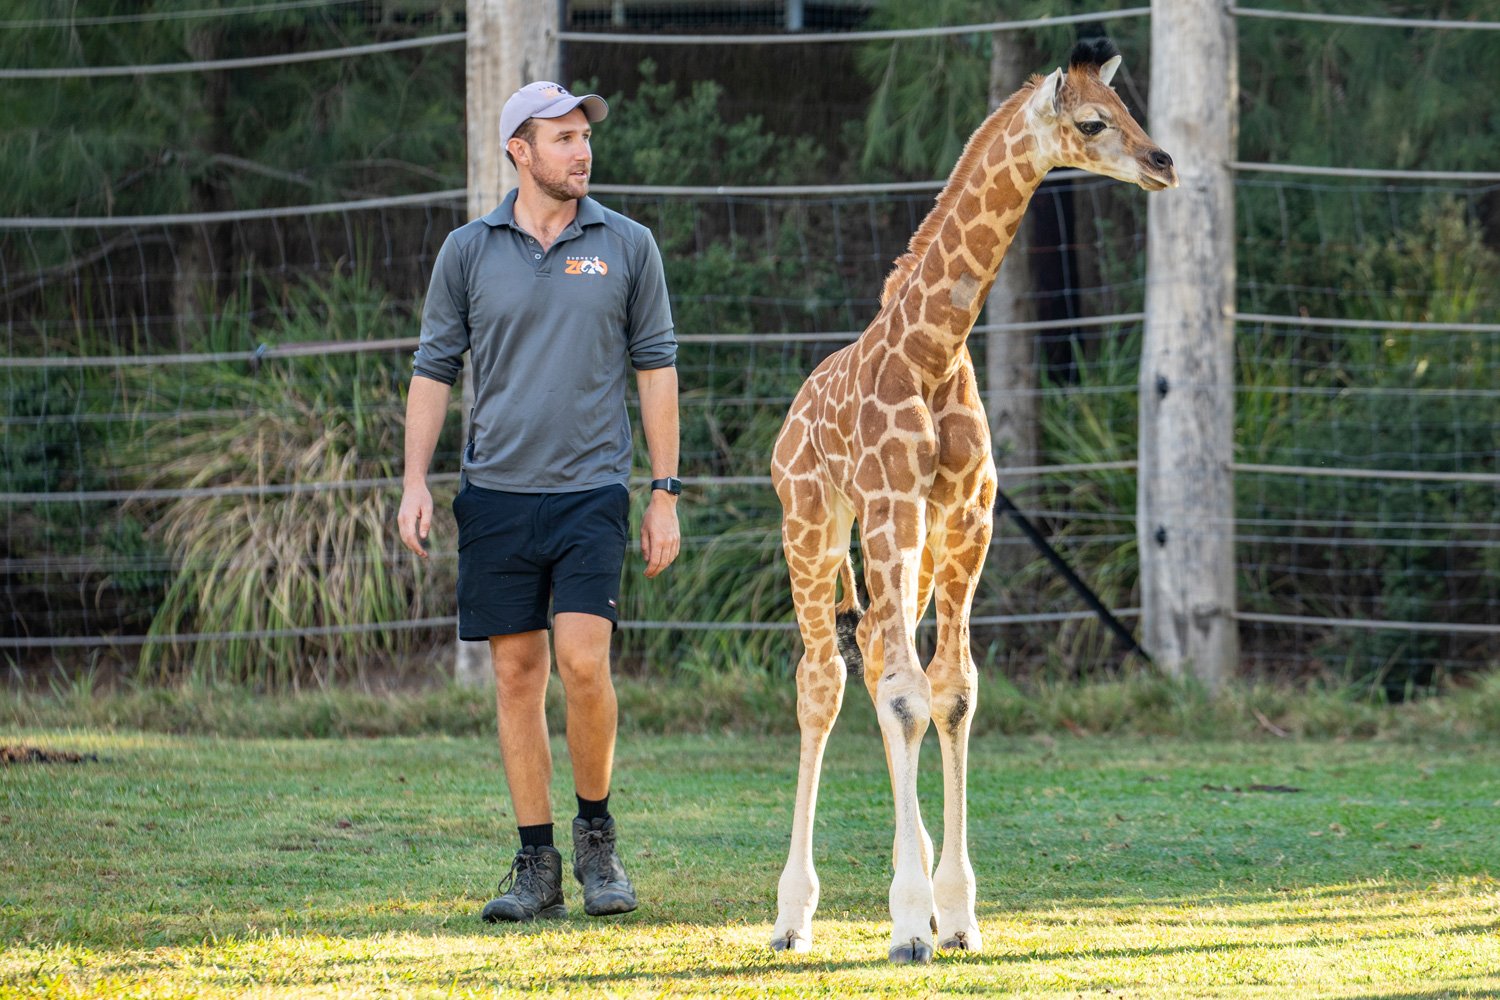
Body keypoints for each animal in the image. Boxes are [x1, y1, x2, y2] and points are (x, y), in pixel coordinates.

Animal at [768, 38, 1178, 964]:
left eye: (1130, 110)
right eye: (1092, 123)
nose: (1162, 163)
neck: (933, 348)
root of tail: (791, 417)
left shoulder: (965, 520)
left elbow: (950, 692)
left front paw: (951, 914)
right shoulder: (891, 506)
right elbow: (908, 695)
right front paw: (910, 922)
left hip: (904, 558)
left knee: (877, 660)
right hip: (812, 526)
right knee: (824, 680)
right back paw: (791, 915)